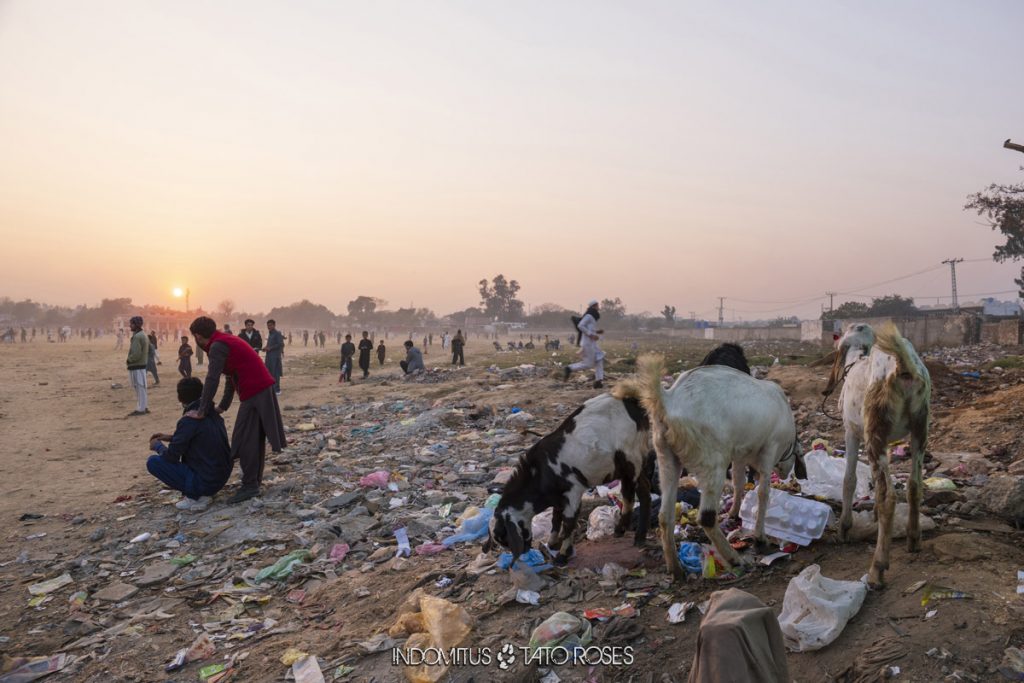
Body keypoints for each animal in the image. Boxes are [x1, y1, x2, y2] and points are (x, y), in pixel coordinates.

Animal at [485, 393, 647, 565]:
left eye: (504, 537)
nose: (524, 550)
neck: (540, 474)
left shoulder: (573, 493)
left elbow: (569, 523)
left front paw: (562, 555)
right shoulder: (558, 499)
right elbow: (556, 519)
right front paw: (553, 543)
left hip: (631, 458)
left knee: (633, 493)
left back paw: (626, 531)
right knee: (640, 491)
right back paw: (635, 535)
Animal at [614, 358, 806, 581]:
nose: (785, 473)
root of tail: (669, 399)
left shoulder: (740, 453)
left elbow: (739, 482)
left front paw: (733, 513)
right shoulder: (769, 449)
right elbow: (763, 493)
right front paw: (760, 539)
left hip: (665, 454)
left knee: (665, 516)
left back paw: (676, 568)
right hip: (712, 460)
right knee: (706, 516)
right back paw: (734, 559)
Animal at [819, 325, 933, 589]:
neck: (857, 360)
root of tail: (902, 366)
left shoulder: (851, 431)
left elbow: (849, 480)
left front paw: (844, 528)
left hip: (874, 431)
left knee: (888, 495)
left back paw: (877, 568)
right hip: (920, 425)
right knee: (914, 484)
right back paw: (914, 538)